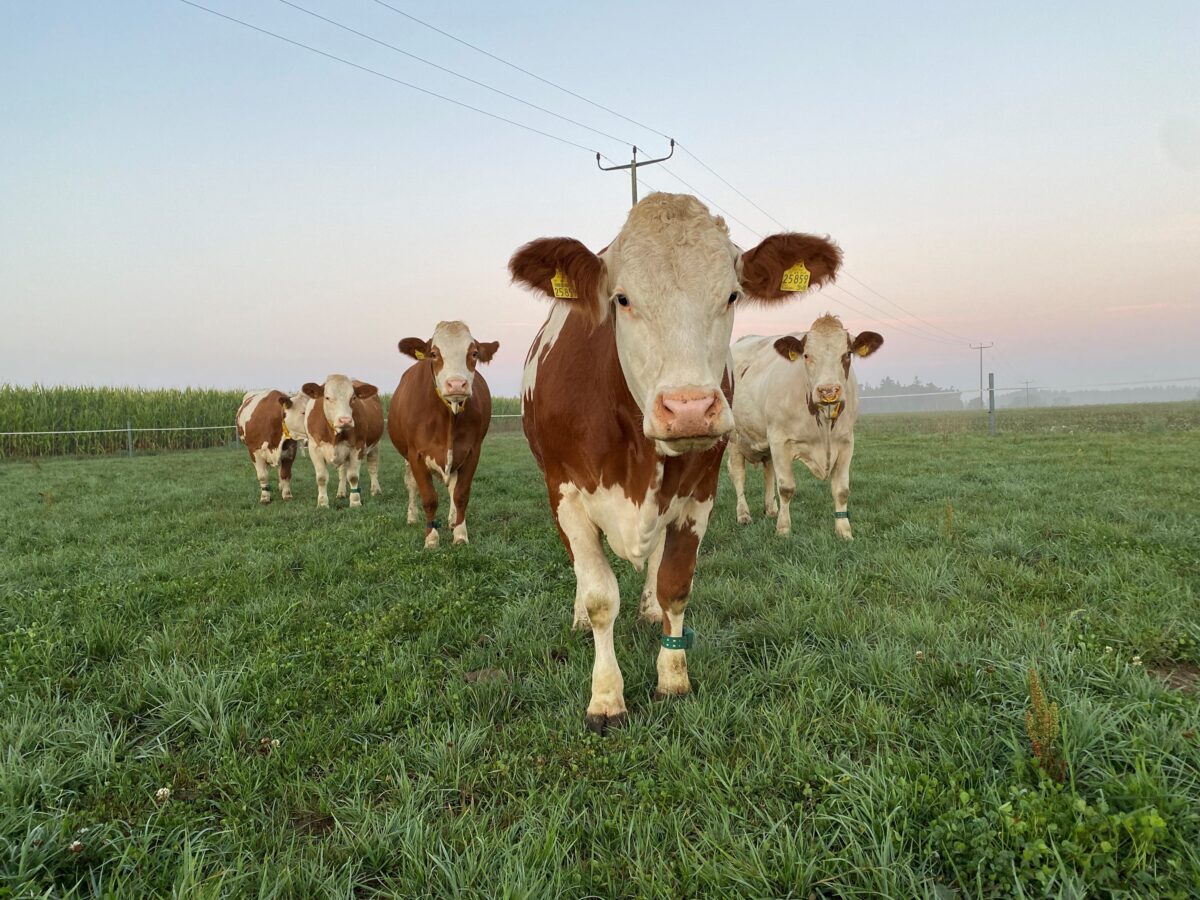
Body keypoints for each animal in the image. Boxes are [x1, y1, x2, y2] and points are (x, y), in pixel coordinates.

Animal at [302, 374, 384, 508]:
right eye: (327, 397)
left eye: (353, 397)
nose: (345, 420)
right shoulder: (314, 447)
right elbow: (321, 478)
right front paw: (322, 504)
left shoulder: (357, 446)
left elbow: (353, 476)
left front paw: (355, 502)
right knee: (342, 471)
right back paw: (341, 493)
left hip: (375, 445)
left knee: (372, 467)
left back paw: (376, 490)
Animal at [388, 320, 498, 549]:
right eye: (433, 353)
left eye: (474, 353)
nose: (456, 384)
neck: (448, 419)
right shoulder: (416, 454)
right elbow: (429, 497)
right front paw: (431, 538)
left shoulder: (472, 452)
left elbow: (461, 494)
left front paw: (460, 533)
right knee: (410, 484)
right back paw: (412, 517)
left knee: (453, 488)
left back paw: (452, 520)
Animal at [510, 192, 842, 733]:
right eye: (621, 299)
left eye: (731, 296)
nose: (688, 409)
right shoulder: (565, 492)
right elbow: (600, 595)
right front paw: (606, 697)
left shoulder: (698, 492)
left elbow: (675, 584)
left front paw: (672, 678)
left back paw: (647, 610)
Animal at [727, 314, 883, 540]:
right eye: (807, 356)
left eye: (847, 354)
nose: (828, 391)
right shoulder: (780, 440)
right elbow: (786, 487)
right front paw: (783, 529)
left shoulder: (846, 442)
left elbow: (842, 490)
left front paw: (844, 531)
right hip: (734, 437)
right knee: (738, 473)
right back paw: (744, 514)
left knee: (768, 469)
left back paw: (771, 509)